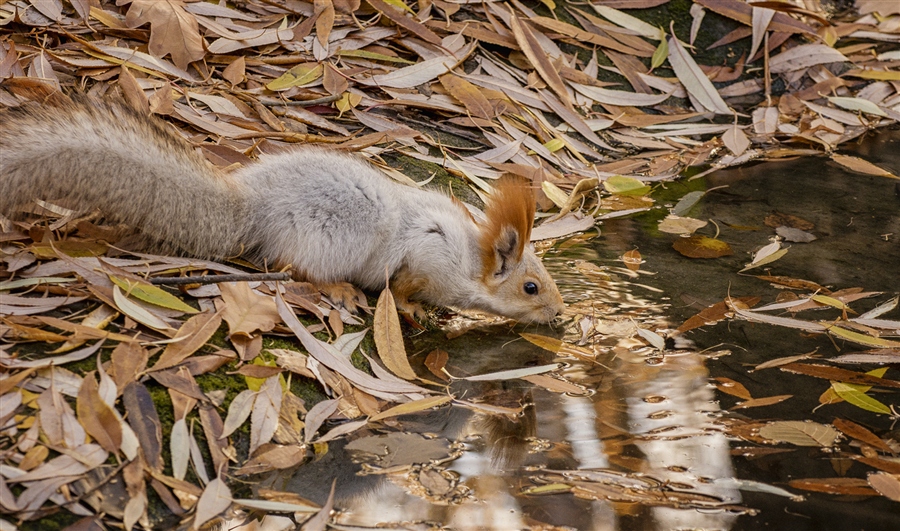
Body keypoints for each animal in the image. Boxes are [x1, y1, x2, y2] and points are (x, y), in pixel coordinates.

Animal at [0, 97, 564, 322]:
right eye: (531, 287)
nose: (559, 314)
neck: (471, 259)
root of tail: (254, 207)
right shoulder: (428, 257)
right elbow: (404, 287)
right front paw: (412, 310)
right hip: (330, 238)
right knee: (296, 268)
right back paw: (338, 290)